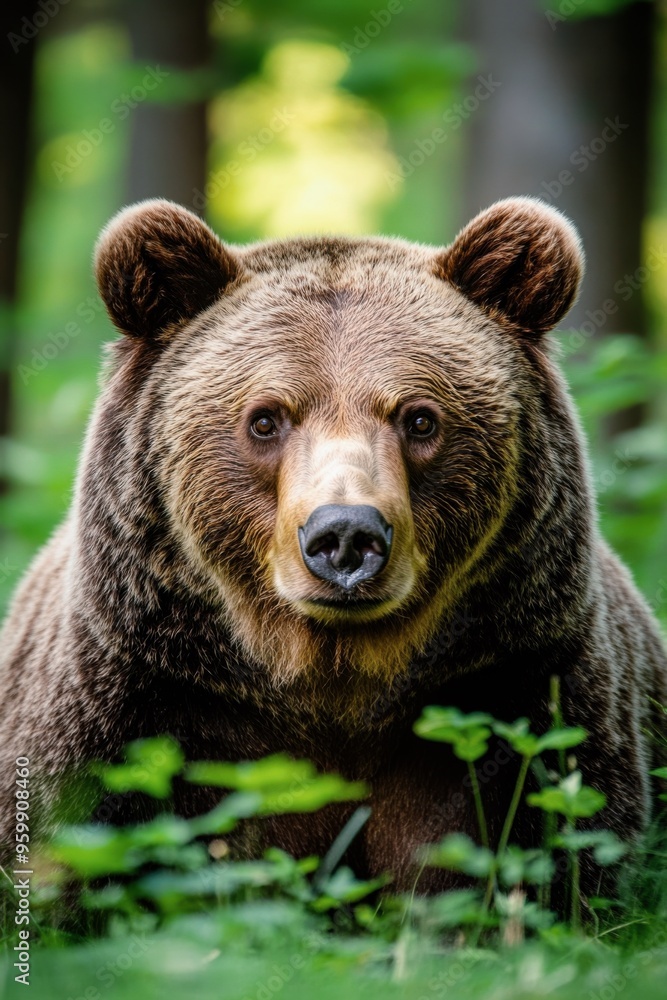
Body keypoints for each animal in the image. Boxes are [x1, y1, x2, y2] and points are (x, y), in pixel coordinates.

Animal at [0, 196, 665, 896]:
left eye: (420, 418)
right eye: (265, 419)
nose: (345, 535)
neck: (331, 679)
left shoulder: (513, 689)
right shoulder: (145, 702)